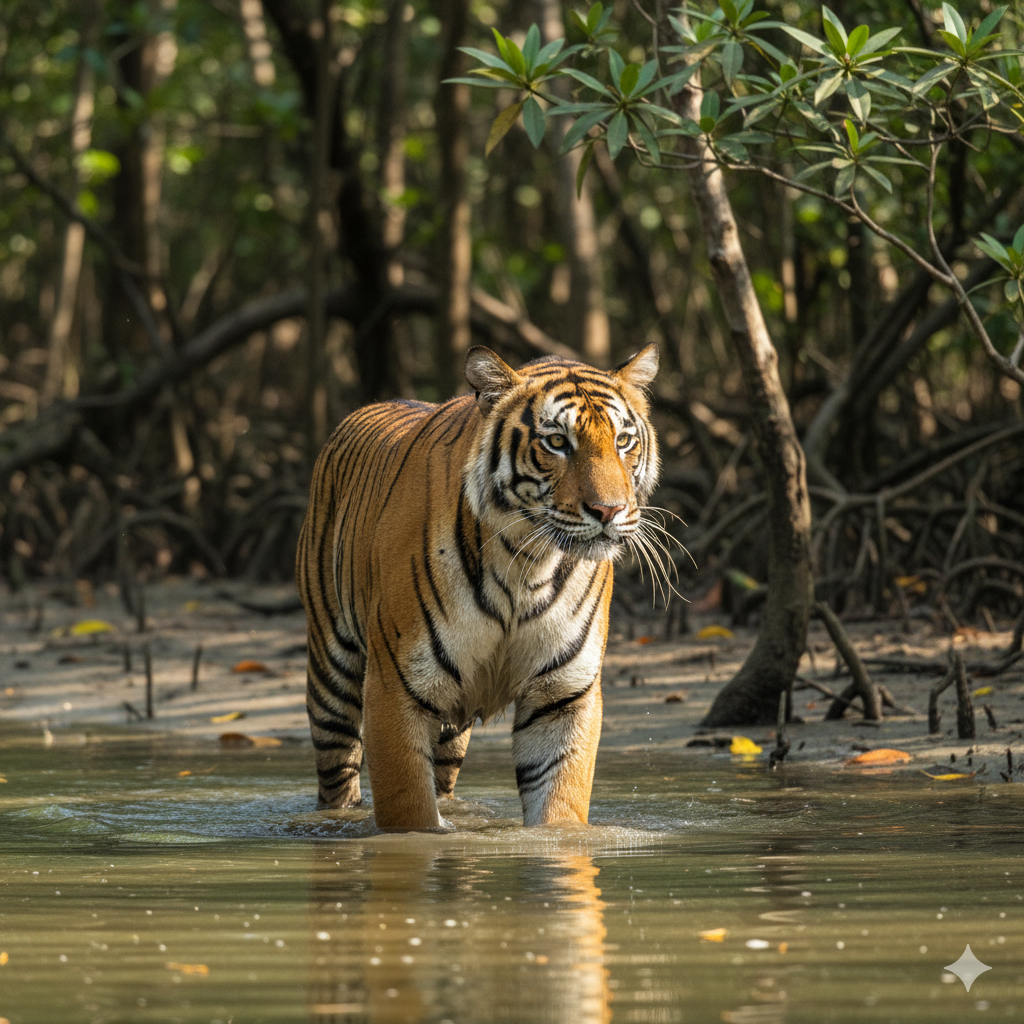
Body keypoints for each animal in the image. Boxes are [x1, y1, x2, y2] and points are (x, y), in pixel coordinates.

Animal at [295, 343, 661, 830]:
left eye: (623, 441)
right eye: (556, 442)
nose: (609, 510)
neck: (526, 562)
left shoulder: (563, 695)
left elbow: (558, 810)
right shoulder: (395, 689)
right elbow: (410, 815)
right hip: (332, 674)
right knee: (337, 779)